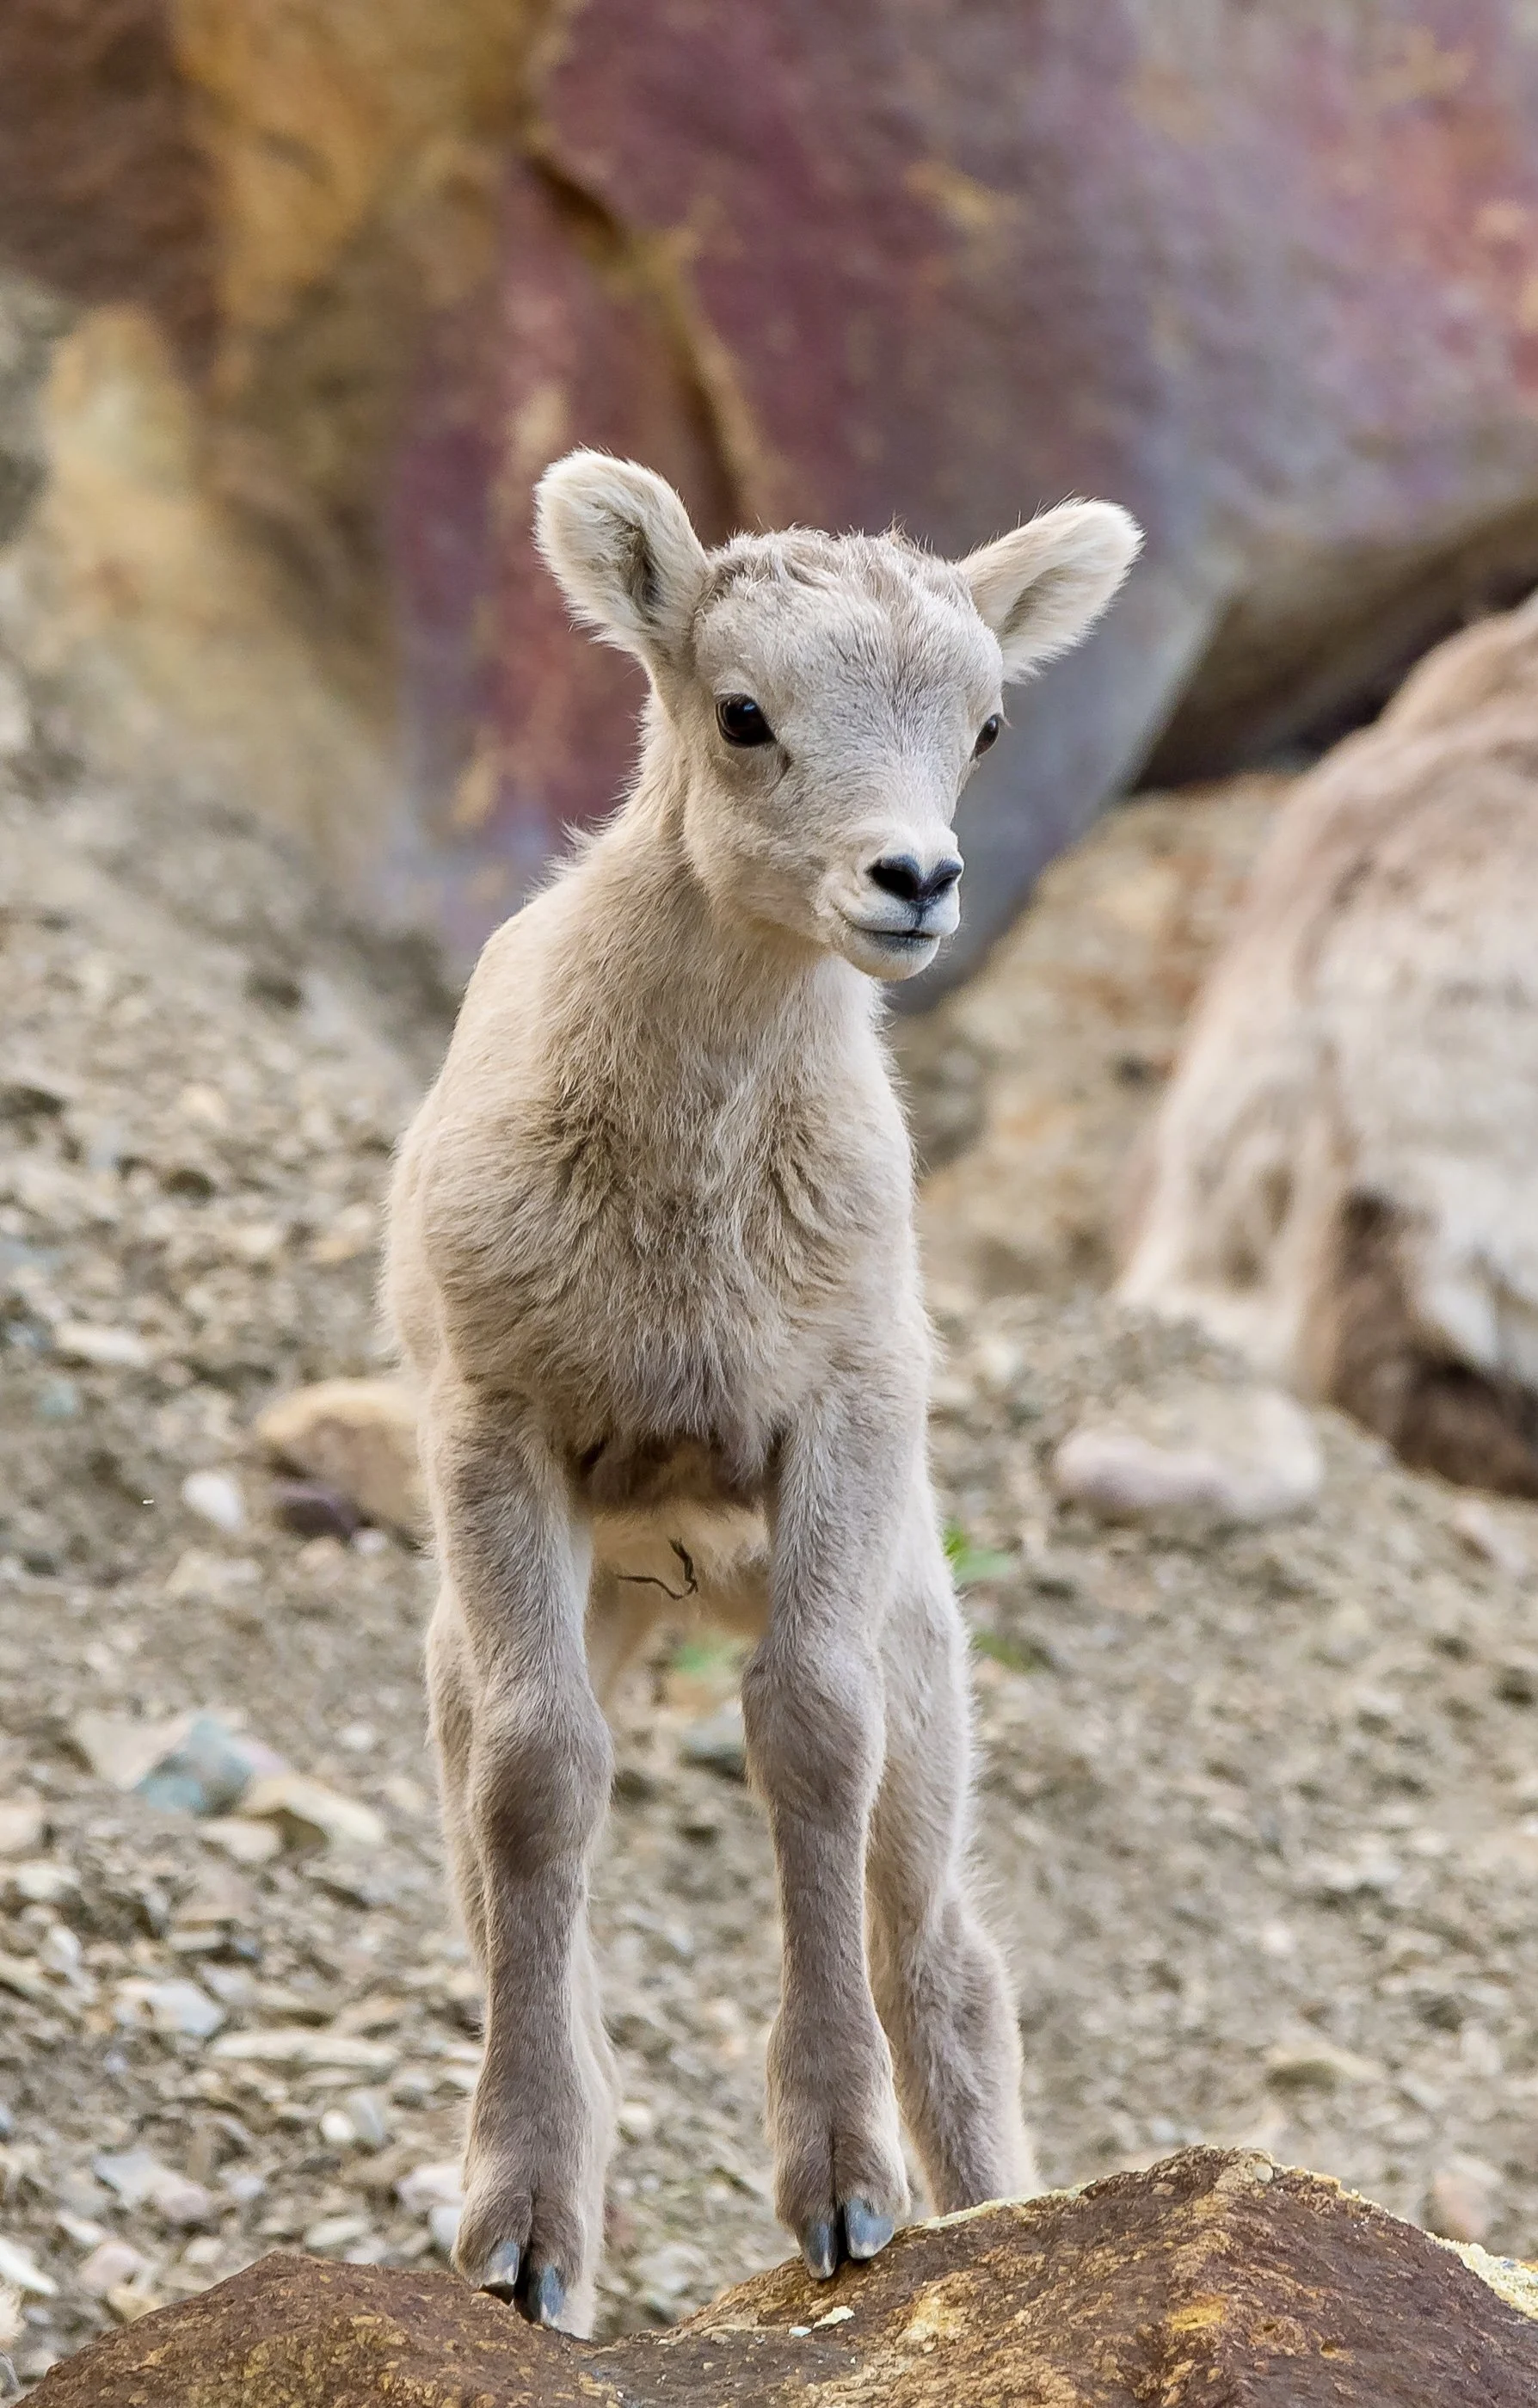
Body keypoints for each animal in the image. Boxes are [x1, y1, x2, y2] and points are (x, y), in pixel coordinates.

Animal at [383, 451, 1141, 2332]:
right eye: (742, 713)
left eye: (985, 725)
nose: (912, 878)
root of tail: (676, 1582)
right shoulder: (500, 1431)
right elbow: (541, 1783)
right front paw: (525, 2239)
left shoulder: (839, 1427)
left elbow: (811, 1742)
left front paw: (849, 2201)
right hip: (512, 1625)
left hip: (923, 1645)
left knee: (938, 1949)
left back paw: (995, 2209)